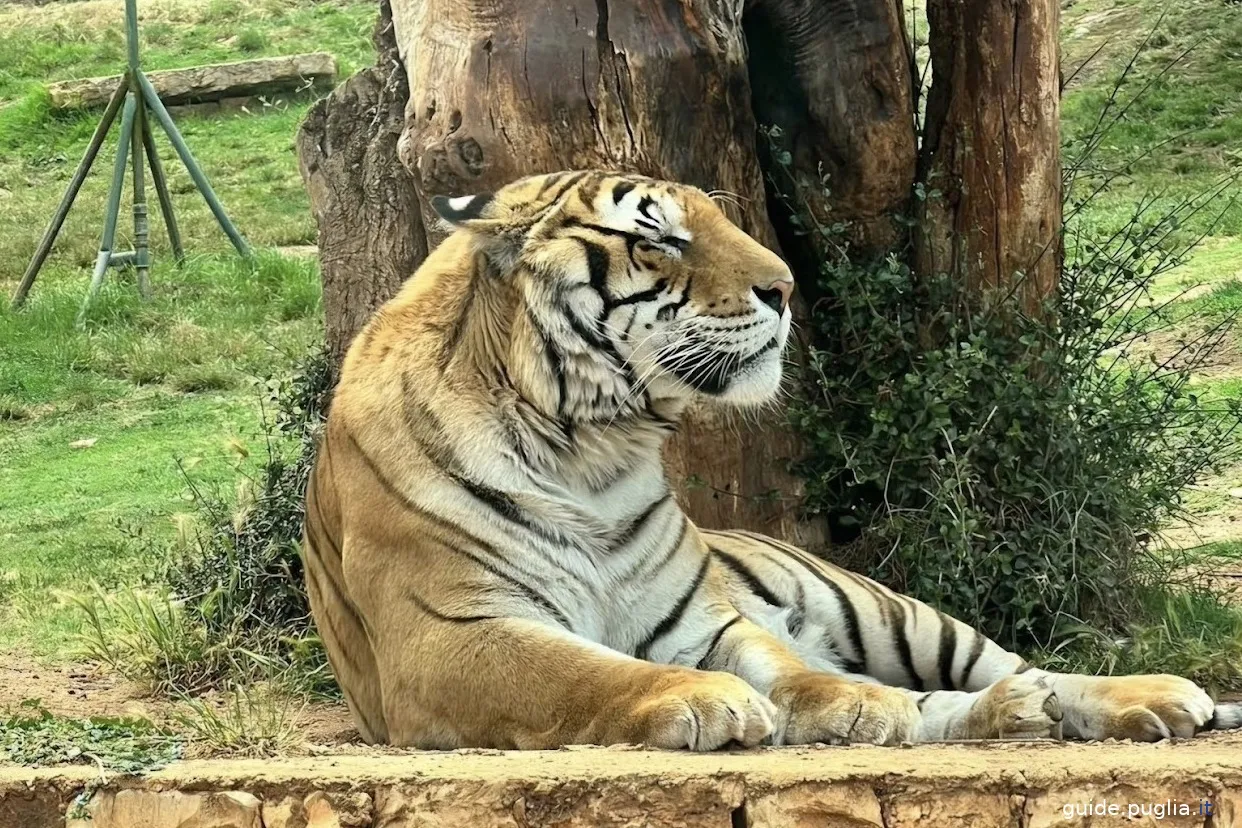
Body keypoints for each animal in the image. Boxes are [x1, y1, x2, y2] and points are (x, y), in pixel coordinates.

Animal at [303, 168, 1242, 749]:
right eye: (659, 240)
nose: (787, 287)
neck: (591, 449)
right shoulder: (449, 636)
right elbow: (575, 672)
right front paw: (697, 698)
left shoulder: (702, 619)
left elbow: (786, 667)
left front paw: (852, 703)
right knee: (978, 698)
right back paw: (1012, 717)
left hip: (895, 611)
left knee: (1024, 668)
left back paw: (1144, 697)